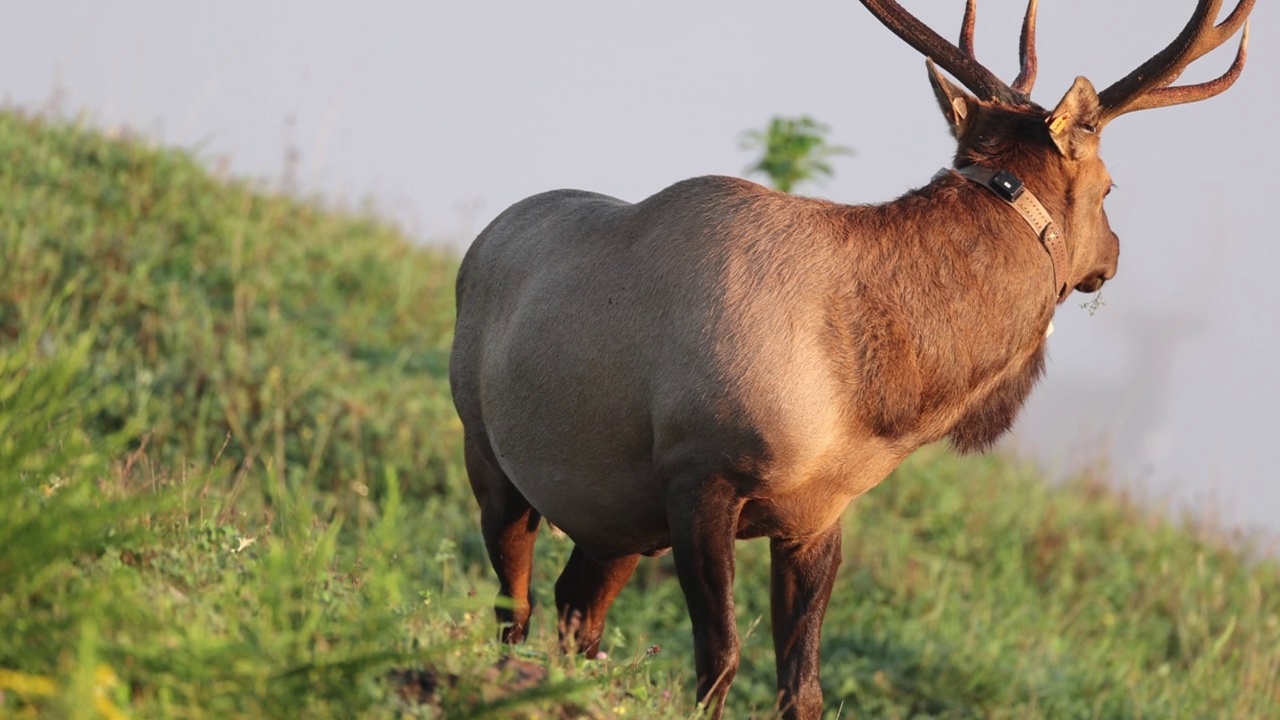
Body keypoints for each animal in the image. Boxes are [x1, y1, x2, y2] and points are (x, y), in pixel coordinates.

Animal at [445, 1, 1254, 712]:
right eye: (1111, 186)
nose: (1113, 255)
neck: (871, 398)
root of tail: (483, 239)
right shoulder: (697, 475)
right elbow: (719, 659)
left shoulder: (817, 514)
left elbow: (801, 688)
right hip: (491, 459)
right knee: (513, 604)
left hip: (617, 520)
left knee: (575, 608)